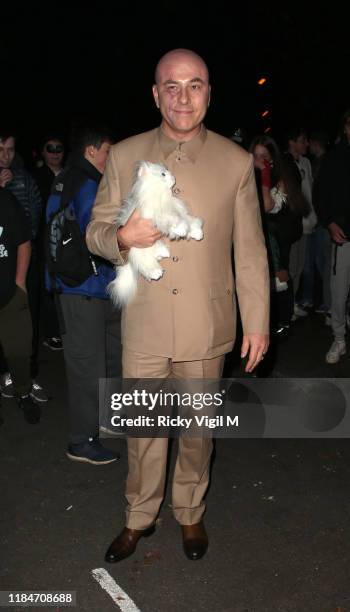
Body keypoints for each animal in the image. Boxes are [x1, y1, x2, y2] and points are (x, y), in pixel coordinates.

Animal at [108, 160, 204, 306]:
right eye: (163, 174)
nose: (173, 178)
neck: (160, 194)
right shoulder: (159, 214)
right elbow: (173, 220)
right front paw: (181, 229)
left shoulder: (176, 209)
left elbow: (187, 219)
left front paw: (197, 232)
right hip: (139, 249)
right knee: (144, 263)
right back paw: (155, 272)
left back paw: (163, 253)